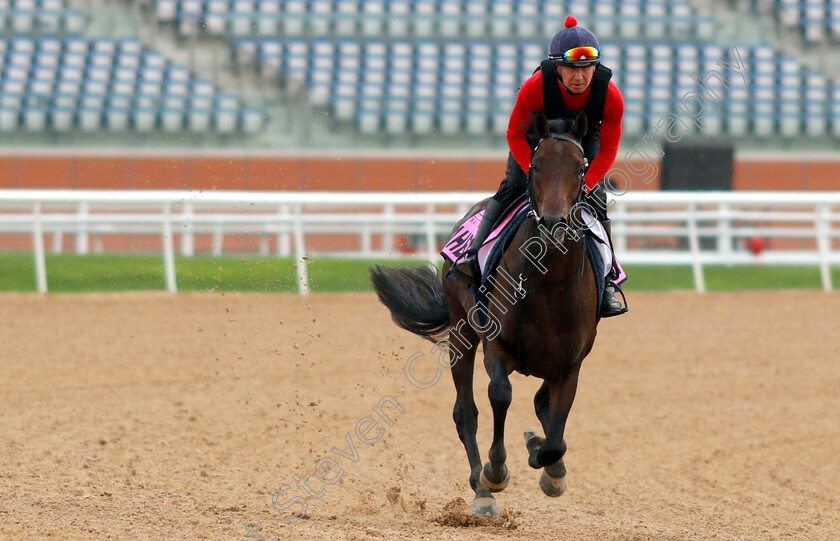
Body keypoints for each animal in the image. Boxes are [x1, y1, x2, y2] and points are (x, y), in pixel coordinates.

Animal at [370, 109, 596, 516]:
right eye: (536, 165)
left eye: (580, 168)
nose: (554, 222)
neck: (548, 283)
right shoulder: (497, 345)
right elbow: (500, 396)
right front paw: (496, 472)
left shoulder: (571, 363)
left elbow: (556, 432)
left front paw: (546, 462)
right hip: (462, 332)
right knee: (465, 412)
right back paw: (482, 490)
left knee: (542, 405)